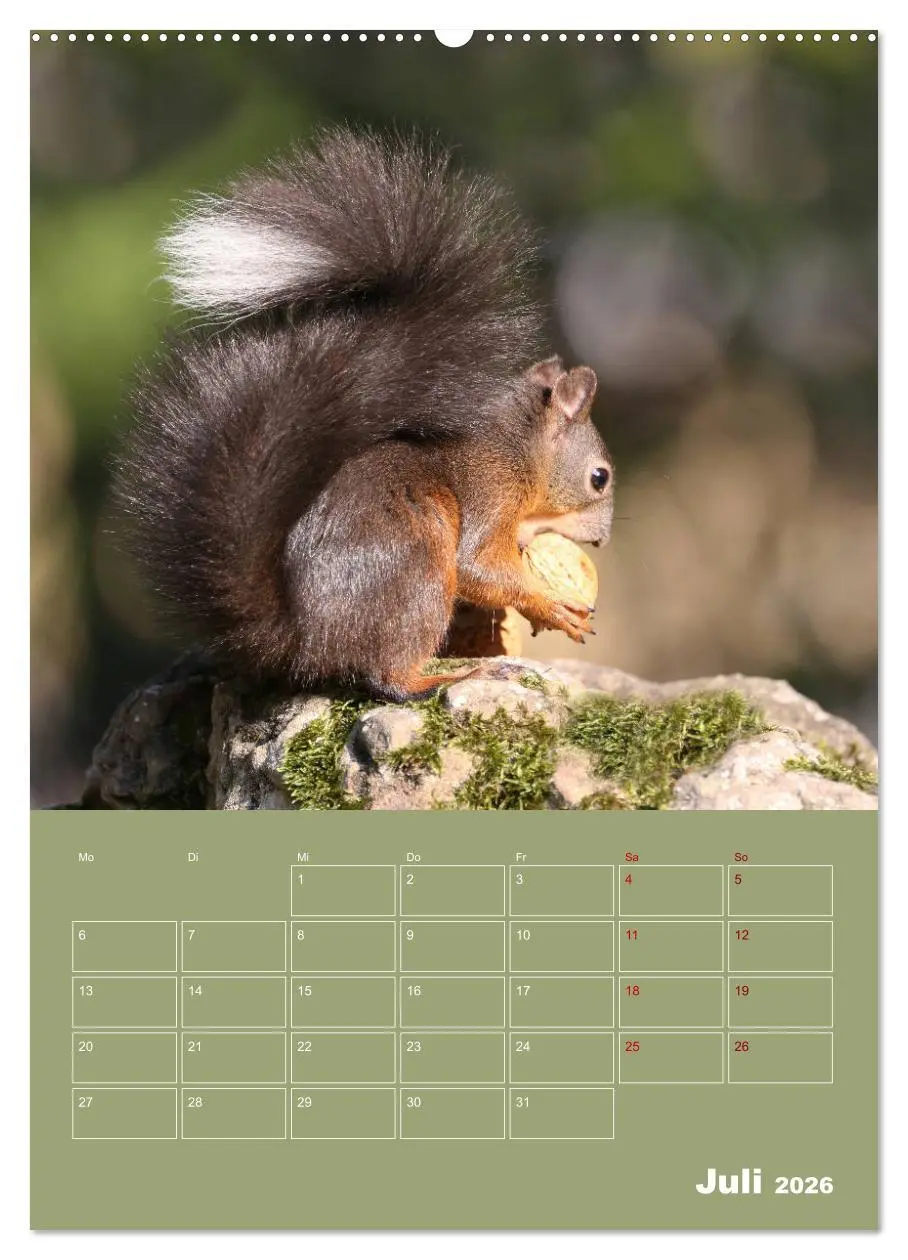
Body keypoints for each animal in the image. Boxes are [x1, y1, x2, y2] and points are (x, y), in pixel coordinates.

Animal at [115, 127, 614, 702]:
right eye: (599, 478)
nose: (601, 540)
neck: (520, 448)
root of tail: (305, 642)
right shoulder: (491, 495)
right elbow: (479, 567)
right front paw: (551, 605)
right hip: (418, 570)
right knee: (386, 676)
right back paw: (445, 676)